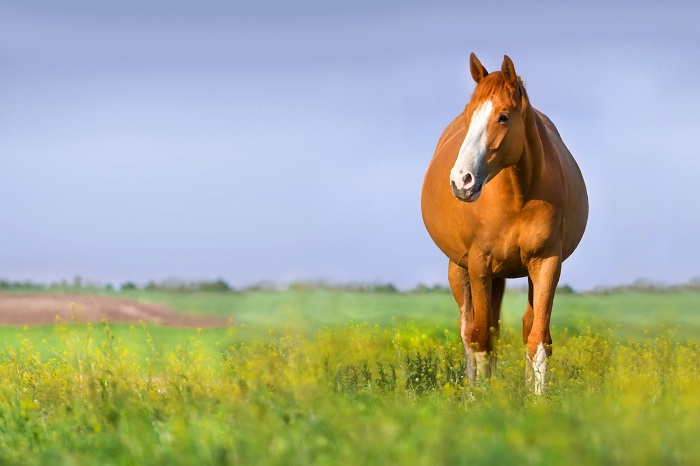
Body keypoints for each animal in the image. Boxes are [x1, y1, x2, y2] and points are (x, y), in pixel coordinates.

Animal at [421, 53, 588, 394]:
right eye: (469, 115)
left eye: (503, 117)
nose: (461, 181)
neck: (518, 194)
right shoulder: (479, 264)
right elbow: (480, 339)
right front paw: (481, 398)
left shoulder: (546, 263)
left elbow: (538, 339)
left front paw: (536, 398)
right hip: (460, 270)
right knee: (469, 331)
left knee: (522, 327)